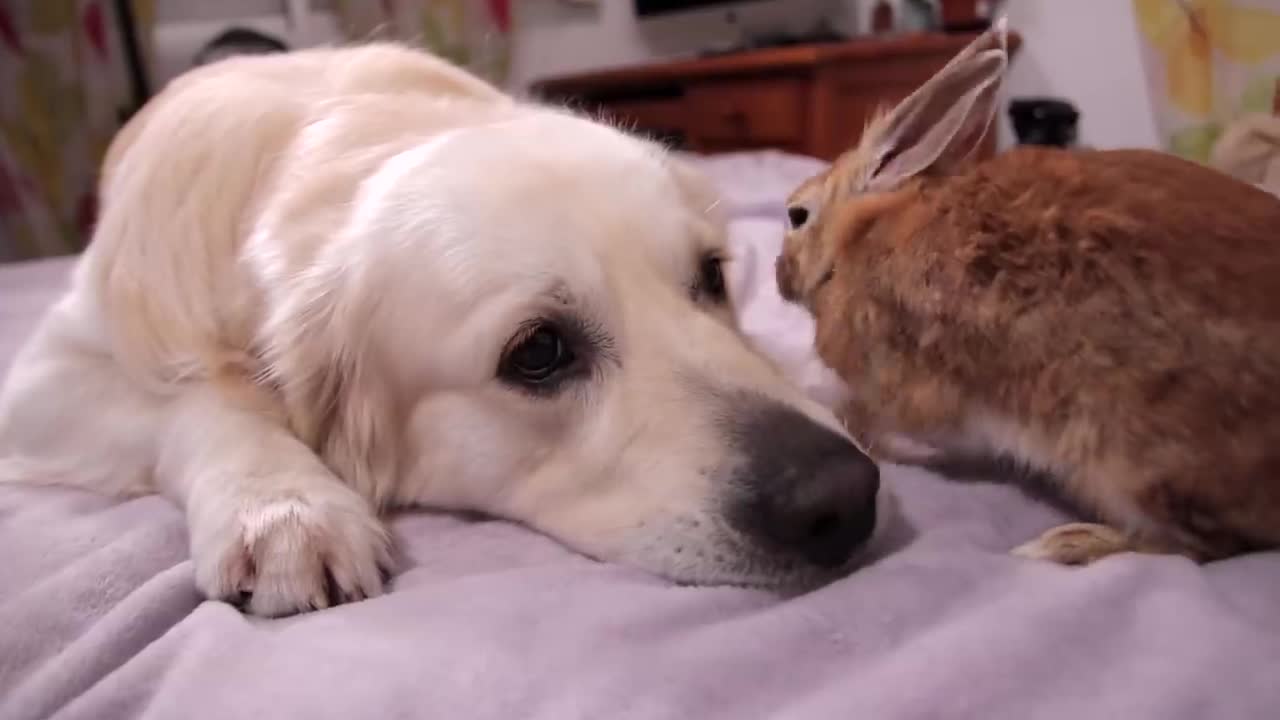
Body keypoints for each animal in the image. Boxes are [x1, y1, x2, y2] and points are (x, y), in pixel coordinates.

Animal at [0, 44, 880, 614]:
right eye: (538, 353)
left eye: (711, 277)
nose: (845, 497)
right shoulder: (44, 380)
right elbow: (201, 397)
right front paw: (284, 507)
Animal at [773, 19, 1280, 563]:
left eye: (797, 215)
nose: (779, 275)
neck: (858, 232)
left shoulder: (914, 390)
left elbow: (883, 421)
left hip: (1128, 465)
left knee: (1203, 547)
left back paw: (1064, 544)